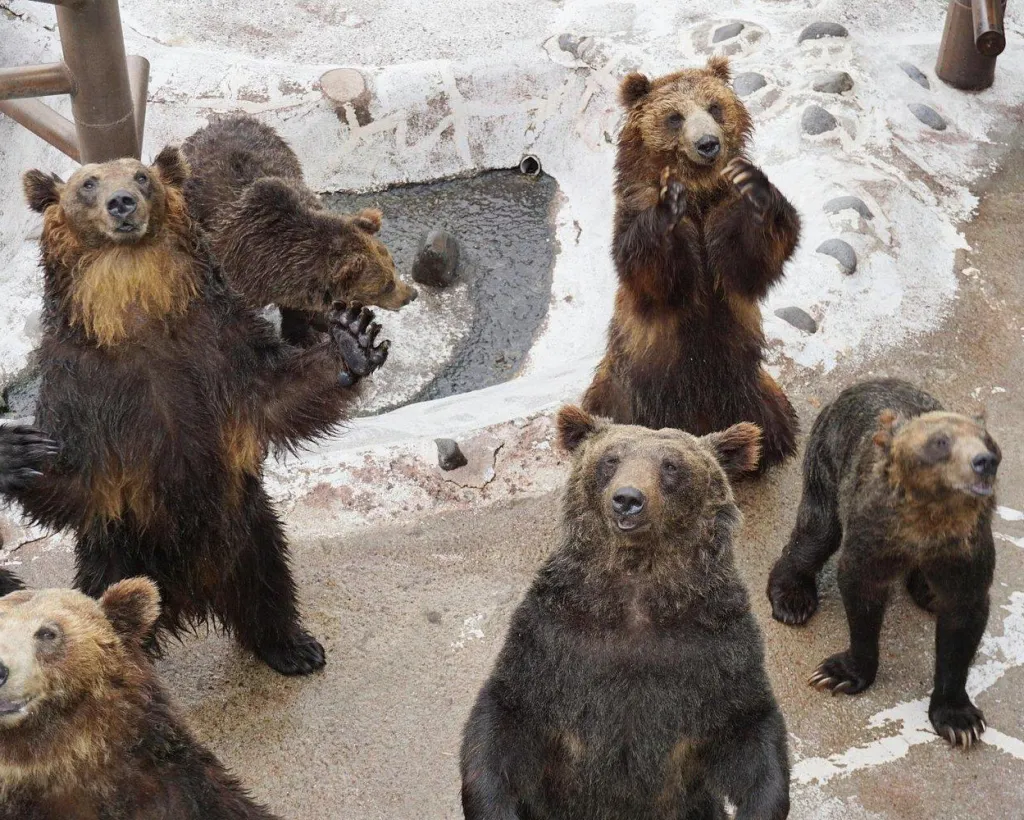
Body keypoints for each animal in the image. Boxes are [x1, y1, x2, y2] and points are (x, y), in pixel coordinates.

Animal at [5, 148, 390, 676]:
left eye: (141, 176)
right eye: (88, 183)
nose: (122, 203)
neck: (138, 315)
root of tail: (193, 599)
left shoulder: (219, 345)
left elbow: (276, 395)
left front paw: (352, 340)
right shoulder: (82, 384)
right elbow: (77, 477)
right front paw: (15, 450)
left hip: (250, 531)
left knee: (270, 584)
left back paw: (293, 647)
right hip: (119, 558)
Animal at [182, 115, 417, 347]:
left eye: (393, 265)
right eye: (386, 286)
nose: (411, 294)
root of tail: (225, 118)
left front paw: (304, 333)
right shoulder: (236, 265)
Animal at [460, 406, 790, 820]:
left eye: (670, 465)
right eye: (611, 459)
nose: (628, 498)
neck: (635, 595)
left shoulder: (716, 647)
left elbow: (747, 730)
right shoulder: (553, 639)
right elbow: (507, 718)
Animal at [582, 57, 800, 473]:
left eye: (714, 107)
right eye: (674, 116)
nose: (708, 143)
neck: (700, 192)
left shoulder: (723, 218)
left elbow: (748, 264)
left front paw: (758, 190)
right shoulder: (635, 213)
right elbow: (655, 275)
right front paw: (668, 205)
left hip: (743, 384)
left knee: (768, 415)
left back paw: (768, 445)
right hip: (626, 391)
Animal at [766, 379, 1000, 748]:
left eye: (988, 441)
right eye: (940, 442)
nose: (983, 461)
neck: (925, 525)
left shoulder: (965, 549)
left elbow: (962, 618)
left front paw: (959, 720)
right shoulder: (875, 531)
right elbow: (862, 590)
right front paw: (839, 673)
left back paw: (927, 592)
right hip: (827, 457)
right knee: (817, 530)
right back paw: (793, 598)